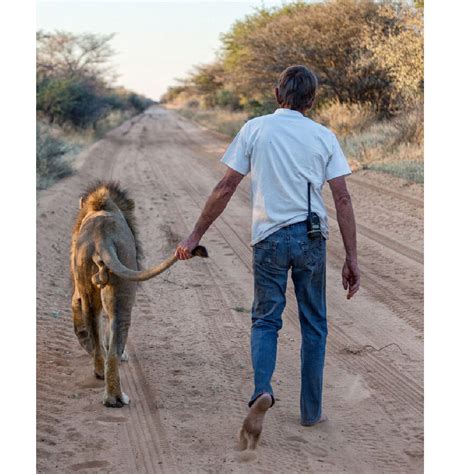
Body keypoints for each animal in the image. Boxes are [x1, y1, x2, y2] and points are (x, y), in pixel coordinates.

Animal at [69, 181, 206, 408]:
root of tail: (101, 238)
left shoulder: (79, 290)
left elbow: (77, 310)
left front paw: (83, 341)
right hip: (123, 290)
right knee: (114, 346)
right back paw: (115, 398)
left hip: (89, 287)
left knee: (95, 328)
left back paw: (99, 370)